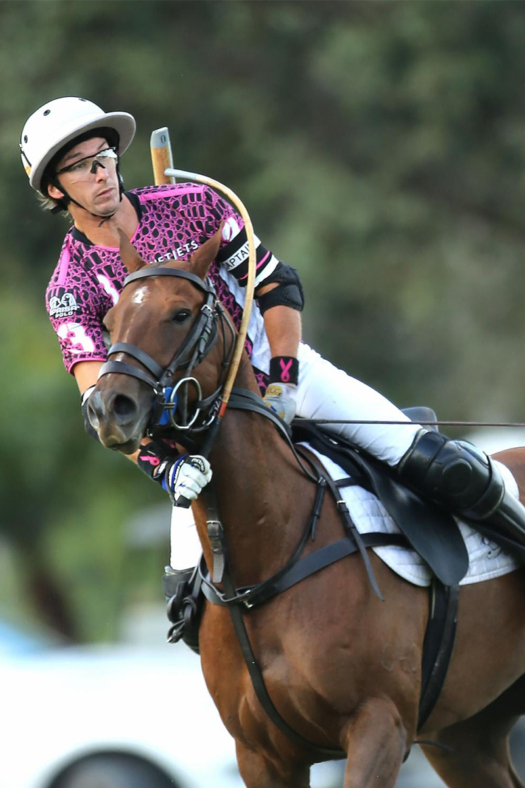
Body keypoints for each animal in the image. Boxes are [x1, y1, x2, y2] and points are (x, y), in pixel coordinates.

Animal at [88, 232, 524, 788]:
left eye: (180, 313)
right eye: (109, 321)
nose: (109, 408)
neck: (273, 549)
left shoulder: (380, 726)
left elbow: (277, 278)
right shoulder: (262, 754)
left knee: (452, 468)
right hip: (467, 734)